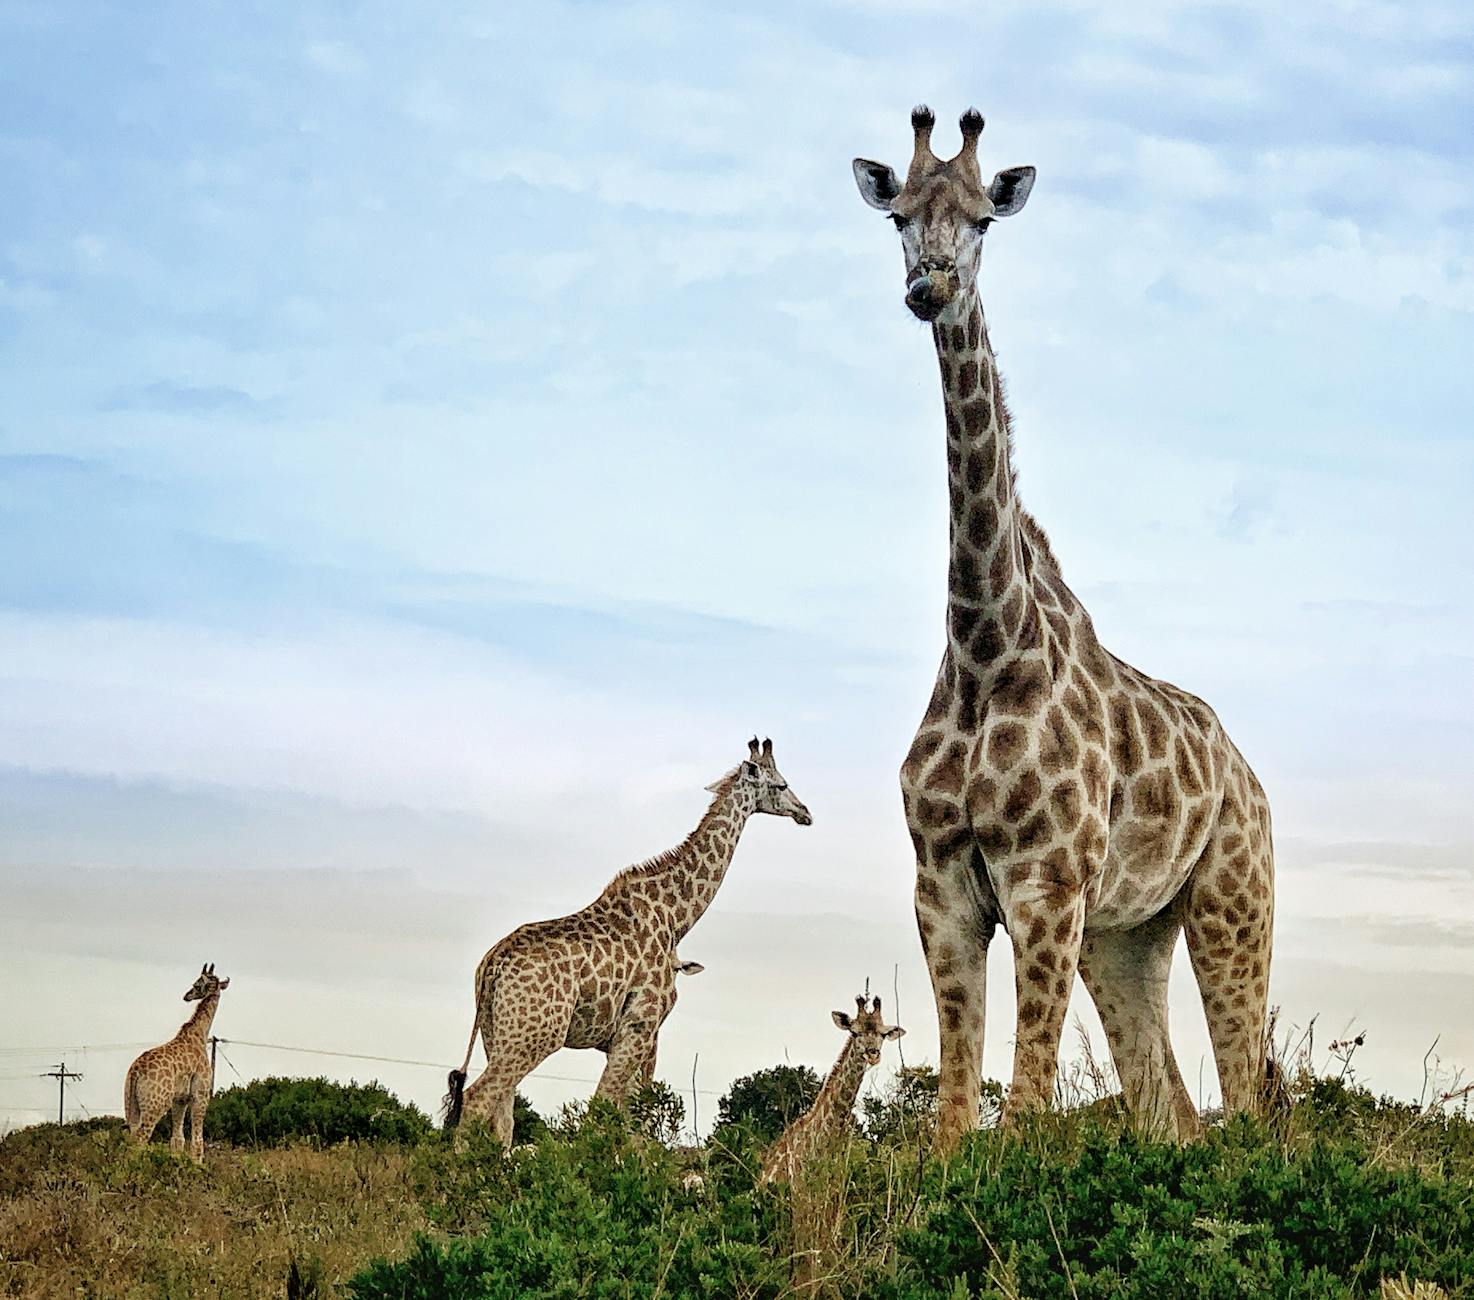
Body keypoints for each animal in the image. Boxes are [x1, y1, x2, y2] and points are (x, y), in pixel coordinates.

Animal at [123, 963, 229, 1161]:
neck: (200, 1035)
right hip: (155, 1104)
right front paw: (197, 1165)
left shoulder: (179, 1099)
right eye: (196, 984)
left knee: (131, 1136)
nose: (187, 996)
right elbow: (197, 1141)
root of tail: (135, 1071)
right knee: (141, 1138)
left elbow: (177, 1139)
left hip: (131, 1102)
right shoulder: (200, 1095)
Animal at [444, 737, 811, 1146]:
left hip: (498, 1034)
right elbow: (610, 1117)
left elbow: (626, 1120)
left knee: (502, 1119)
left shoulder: (630, 1037)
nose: (805, 812)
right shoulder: (640, 1026)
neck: (676, 917)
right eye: (781, 784)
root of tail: (492, 967)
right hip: (535, 1034)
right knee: (477, 1099)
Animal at [852, 107, 1275, 1148]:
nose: (929, 287)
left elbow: (1026, 1108)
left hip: (1232, 903)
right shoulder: (944, 888)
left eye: (984, 220)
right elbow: (953, 1117)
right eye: (898, 217)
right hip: (1126, 935)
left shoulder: (1044, 885)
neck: (984, 647)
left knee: (1247, 1101)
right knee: (1173, 1111)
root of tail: (1251, 779)